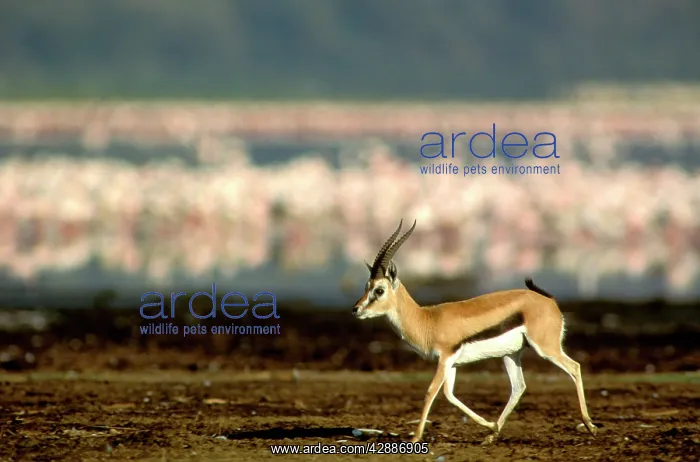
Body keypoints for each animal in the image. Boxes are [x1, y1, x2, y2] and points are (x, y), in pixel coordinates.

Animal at [352, 219, 597, 444]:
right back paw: (492, 435)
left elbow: (431, 391)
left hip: (546, 348)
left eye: (379, 290)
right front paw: (490, 426)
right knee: (518, 387)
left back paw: (590, 426)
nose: (356, 309)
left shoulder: (445, 358)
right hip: (511, 354)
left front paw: (415, 438)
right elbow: (449, 395)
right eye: (366, 287)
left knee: (574, 367)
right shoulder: (451, 364)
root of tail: (549, 301)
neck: (428, 320)